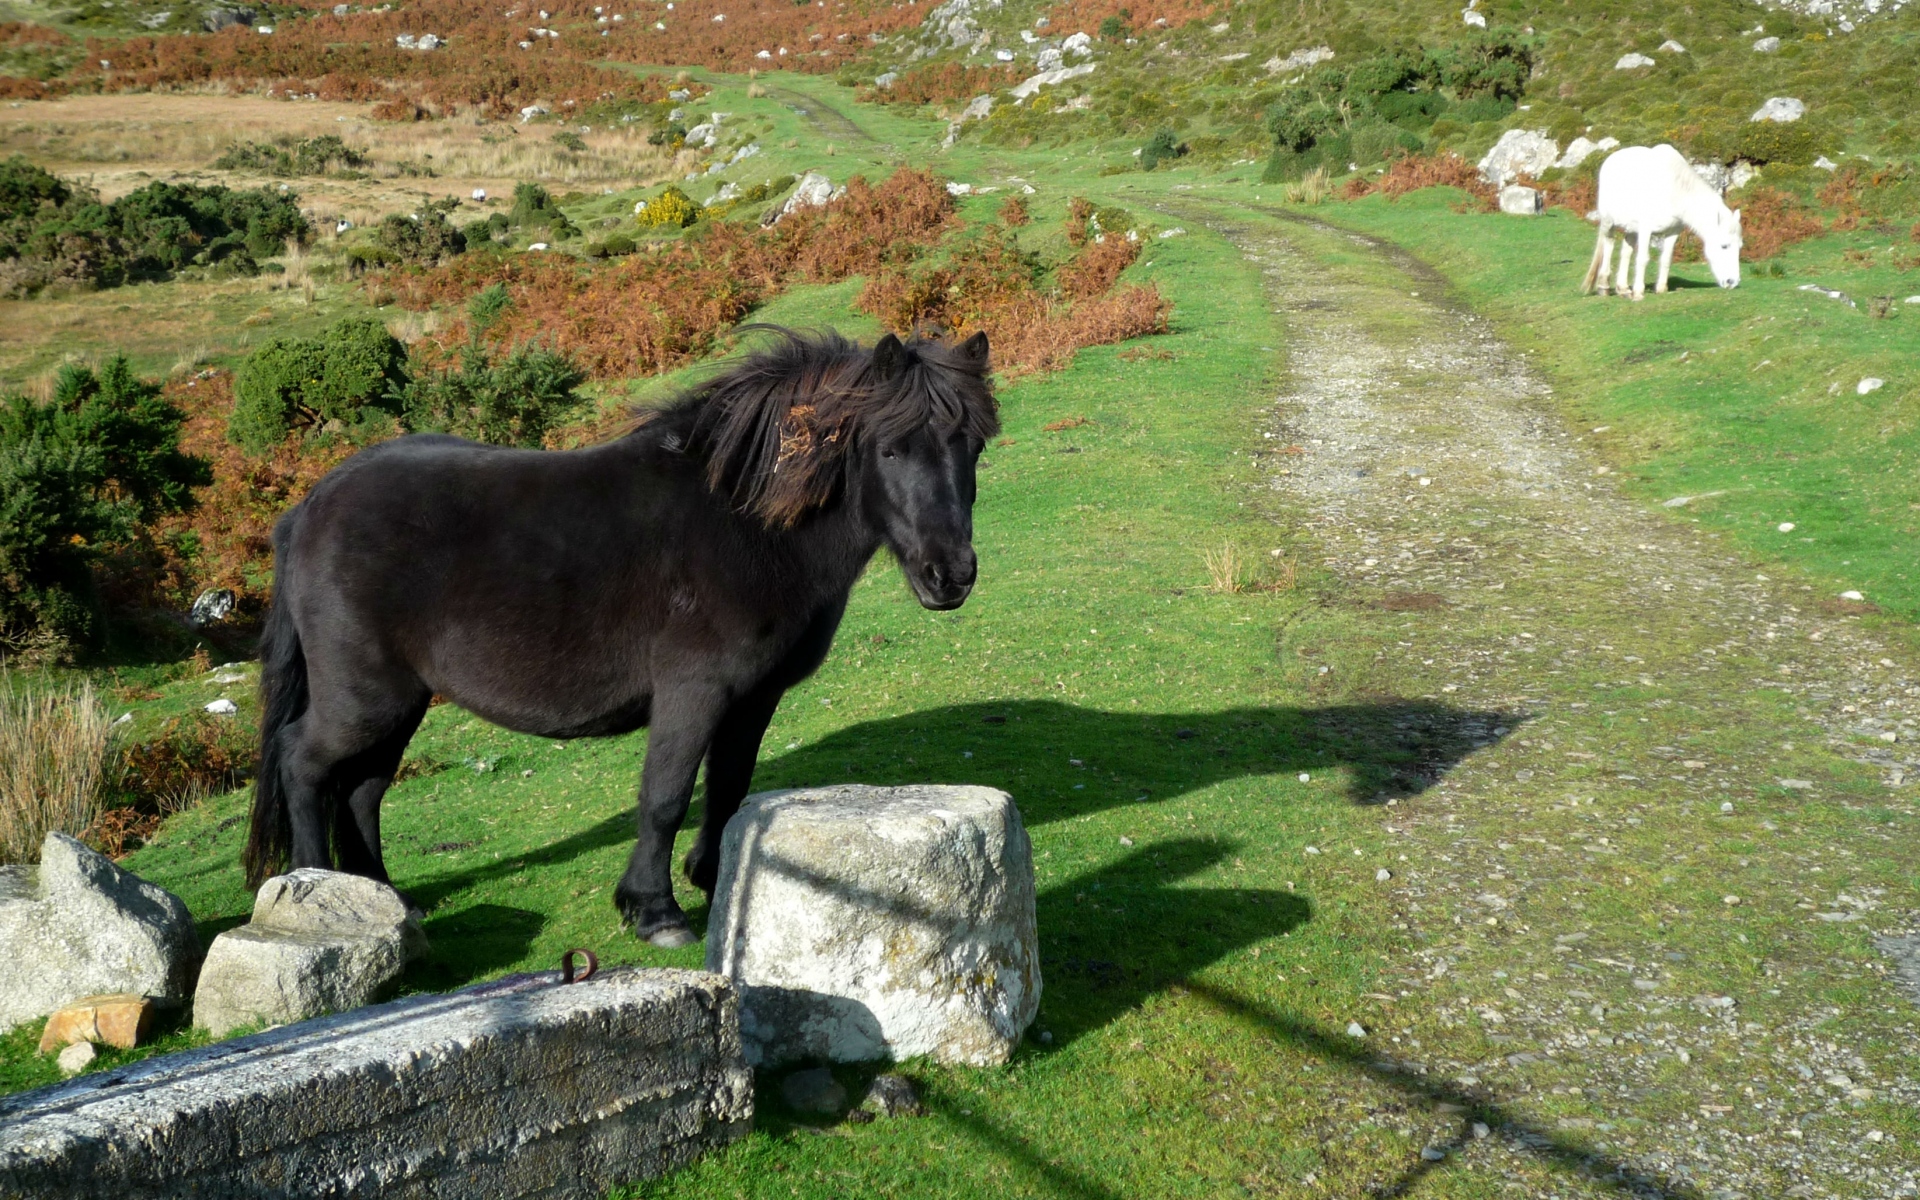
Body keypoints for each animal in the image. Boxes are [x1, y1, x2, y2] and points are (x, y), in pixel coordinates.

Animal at [242, 328, 999, 947]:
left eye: (973, 445)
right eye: (891, 448)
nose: (950, 576)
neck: (745, 523)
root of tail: (309, 507)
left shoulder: (754, 697)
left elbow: (728, 788)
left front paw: (716, 878)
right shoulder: (694, 690)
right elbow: (664, 796)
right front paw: (654, 911)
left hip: (399, 704)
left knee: (361, 790)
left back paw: (386, 900)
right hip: (365, 700)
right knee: (305, 764)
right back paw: (318, 893)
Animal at [1580, 143, 1742, 301]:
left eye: (1739, 247)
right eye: (1724, 246)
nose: (1732, 282)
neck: (1672, 190)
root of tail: (1610, 159)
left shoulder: (1673, 232)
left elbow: (1666, 259)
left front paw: (1661, 289)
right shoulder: (1645, 230)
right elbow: (1643, 259)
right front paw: (1638, 293)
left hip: (1631, 228)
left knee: (1626, 252)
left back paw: (1624, 289)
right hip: (1609, 223)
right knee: (1609, 246)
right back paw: (1604, 287)